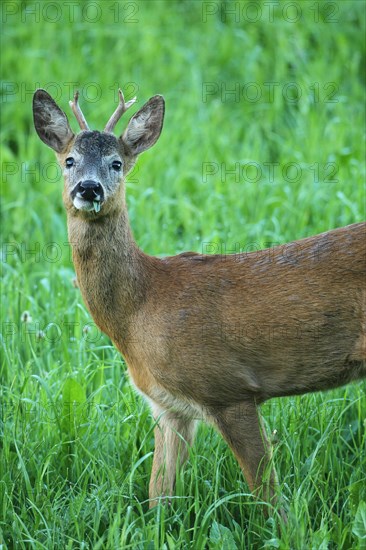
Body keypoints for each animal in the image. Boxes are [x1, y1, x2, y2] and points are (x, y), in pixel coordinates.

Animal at [32, 87, 366, 516]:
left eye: (117, 163)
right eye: (69, 160)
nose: (89, 189)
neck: (141, 309)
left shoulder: (228, 389)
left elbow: (269, 498)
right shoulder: (167, 407)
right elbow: (158, 496)